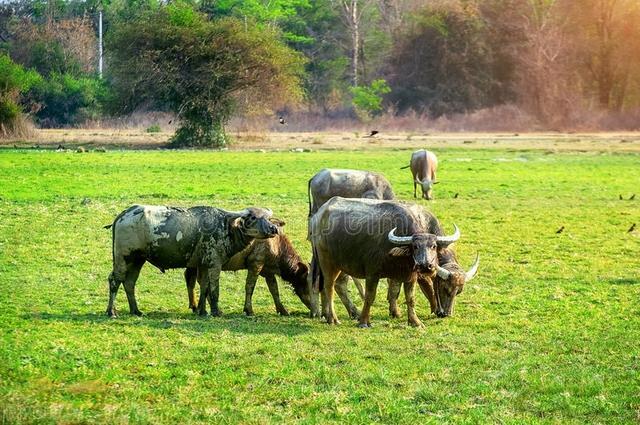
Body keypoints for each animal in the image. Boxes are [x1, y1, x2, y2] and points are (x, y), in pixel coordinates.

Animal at [106, 204, 278, 316]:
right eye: (253, 217)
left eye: (268, 218)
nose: (274, 229)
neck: (226, 228)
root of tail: (124, 214)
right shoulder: (215, 265)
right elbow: (214, 289)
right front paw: (215, 311)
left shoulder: (203, 265)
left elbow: (204, 287)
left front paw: (202, 311)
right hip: (123, 258)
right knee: (115, 280)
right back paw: (111, 311)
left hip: (137, 260)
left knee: (129, 283)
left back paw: (135, 310)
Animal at [182, 230, 312, 316]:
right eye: (308, 285)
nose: (314, 308)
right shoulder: (256, 262)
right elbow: (250, 286)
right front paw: (248, 310)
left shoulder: (267, 269)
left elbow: (274, 289)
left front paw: (283, 310)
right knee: (198, 279)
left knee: (191, 278)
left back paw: (195, 306)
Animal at [308, 197, 458, 326]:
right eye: (415, 246)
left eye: (434, 246)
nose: (425, 265)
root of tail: (318, 217)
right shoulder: (372, 273)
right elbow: (369, 297)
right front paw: (364, 322)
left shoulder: (410, 276)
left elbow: (409, 298)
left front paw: (415, 322)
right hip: (327, 263)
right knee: (328, 287)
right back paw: (333, 318)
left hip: (341, 264)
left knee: (336, 285)